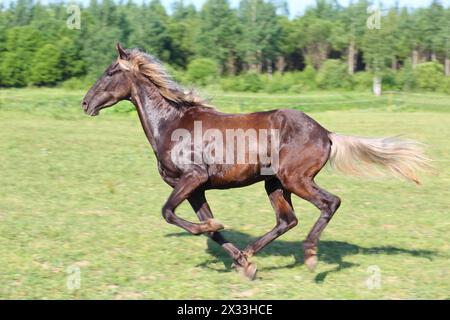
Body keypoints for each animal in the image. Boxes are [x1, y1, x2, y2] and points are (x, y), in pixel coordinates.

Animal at [82, 43, 430, 278]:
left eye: (111, 73)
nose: (85, 103)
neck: (171, 123)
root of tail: (327, 133)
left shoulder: (192, 178)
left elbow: (169, 212)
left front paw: (226, 240)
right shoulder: (196, 189)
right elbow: (211, 231)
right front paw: (243, 263)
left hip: (296, 179)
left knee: (330, 203)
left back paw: (311, 256)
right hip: (274, 184)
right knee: (287, 220)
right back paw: (253, 253)